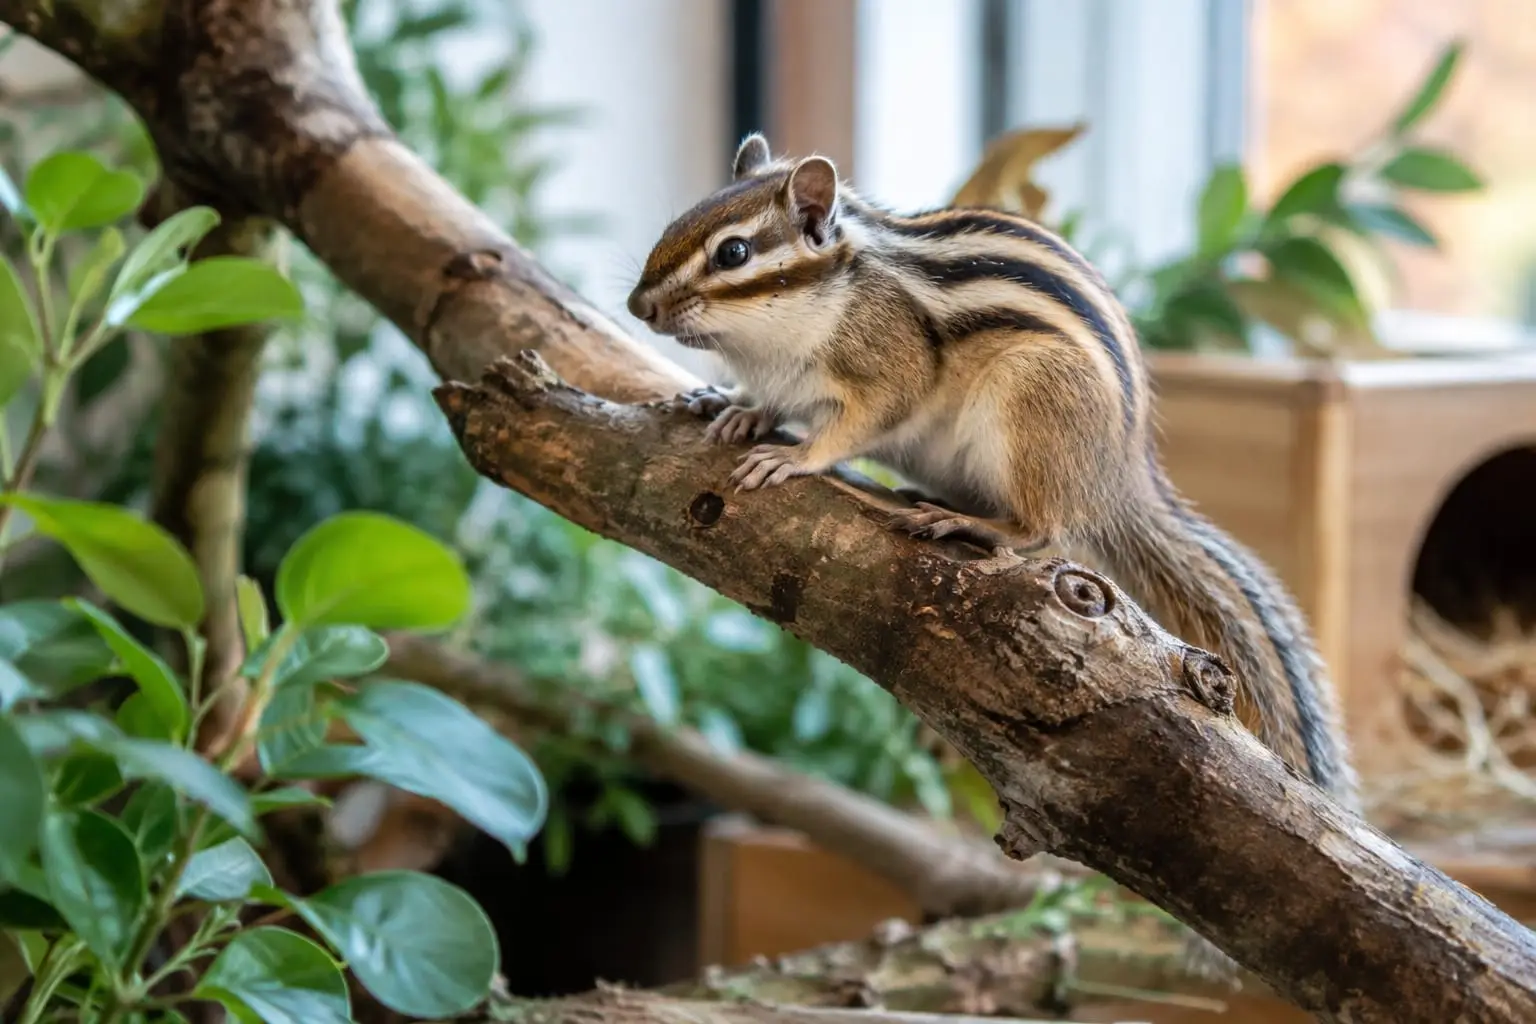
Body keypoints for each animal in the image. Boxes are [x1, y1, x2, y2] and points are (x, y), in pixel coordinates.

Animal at [627, 132, 1359, 808]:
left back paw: (963, 522)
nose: (639, 307)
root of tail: (1118, 481)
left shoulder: (889, 365)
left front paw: (790, 455)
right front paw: (734, 409)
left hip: (1030, 407)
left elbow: (857, 423)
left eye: (733, 253)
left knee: (1045, 530)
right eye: (676, 222)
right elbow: (764, 401)